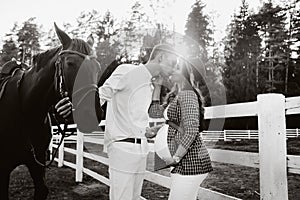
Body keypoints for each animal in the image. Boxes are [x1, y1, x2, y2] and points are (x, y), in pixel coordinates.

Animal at [0, 23, 102, 198]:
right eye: (70, 63)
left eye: (97, 67)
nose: (93, 114)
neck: (28, 111)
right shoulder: (3, 169)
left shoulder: (37, 162)